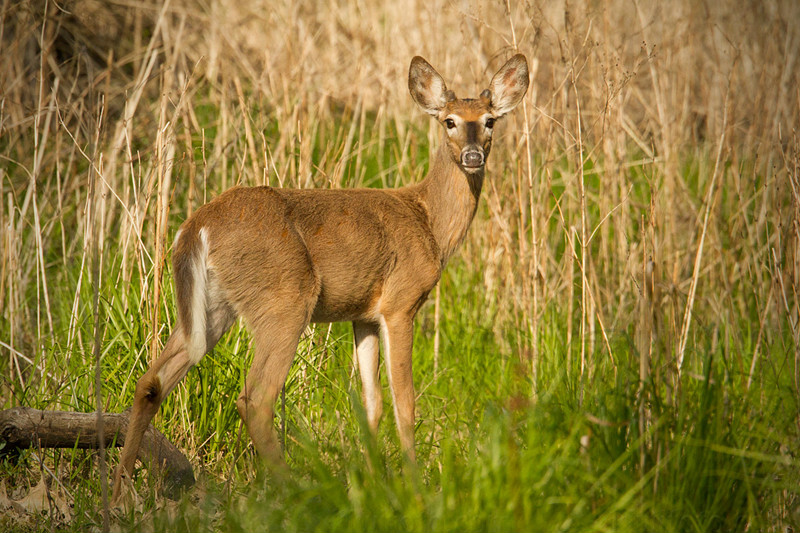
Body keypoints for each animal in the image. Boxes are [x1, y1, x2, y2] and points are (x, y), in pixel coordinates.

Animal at [109, 51, 528, 502]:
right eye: (449, 120)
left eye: (490, 120)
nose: (473, 156)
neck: (429, 221)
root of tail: (197, 226)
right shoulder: (401, 302)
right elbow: (405, 403)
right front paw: (415, 487)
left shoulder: (364, 315)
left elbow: (371, 403)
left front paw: (371, 484)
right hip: (285, 299)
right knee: (255, 399)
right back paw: (300, 492)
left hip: (216, 306)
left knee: (151, 381)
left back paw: (117, 494)